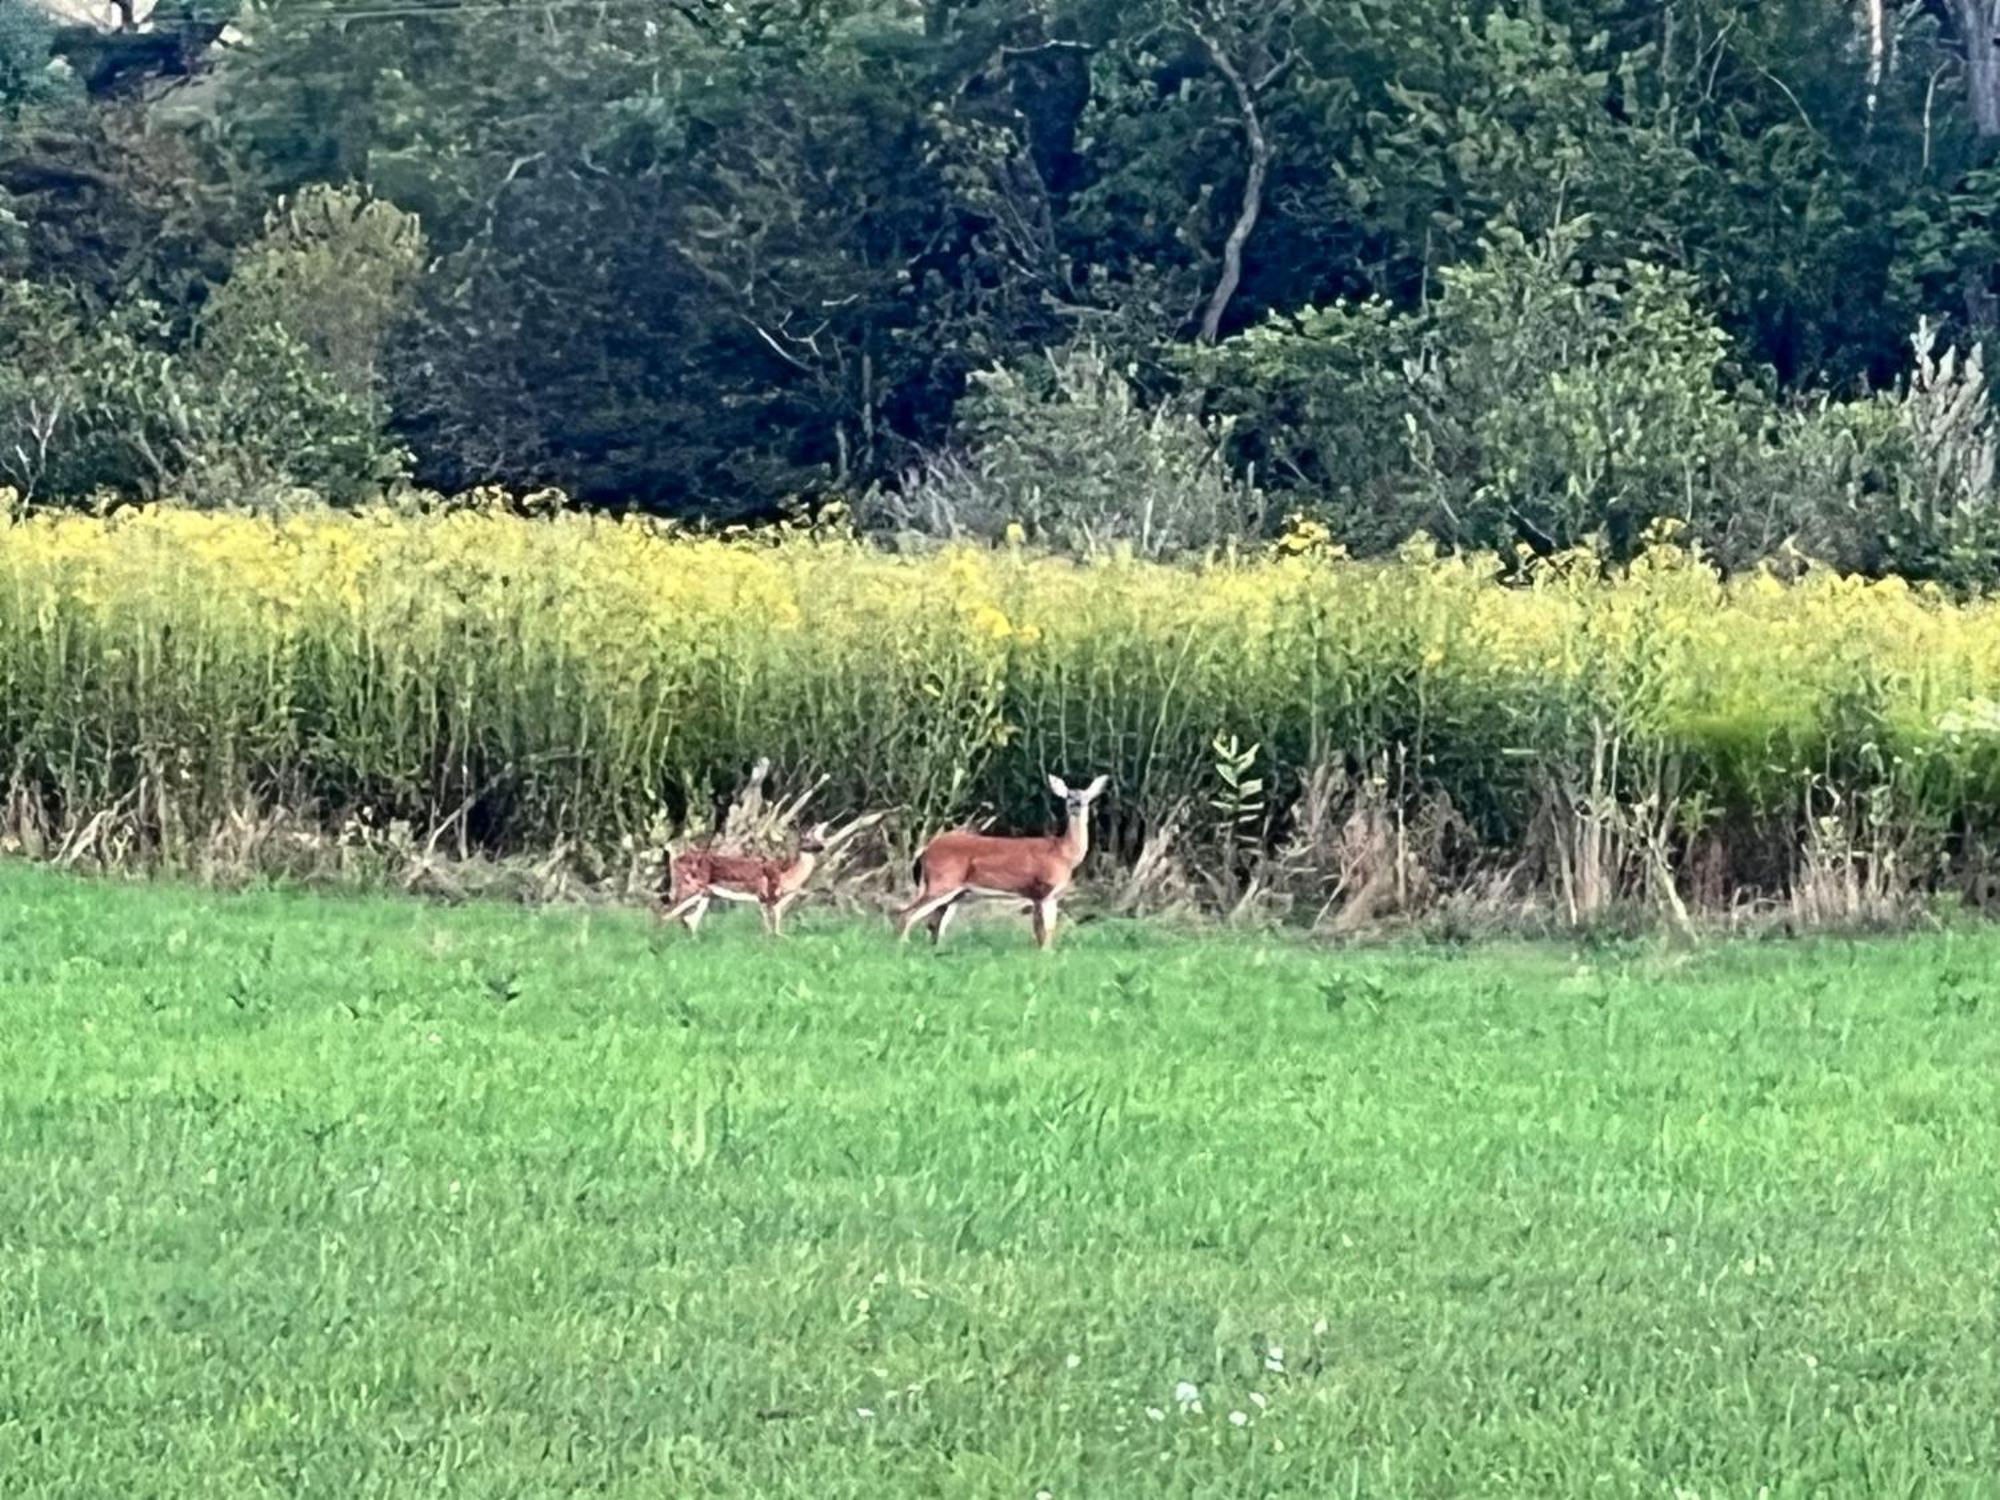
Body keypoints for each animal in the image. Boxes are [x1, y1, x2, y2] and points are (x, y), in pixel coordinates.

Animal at [660, 828, 824, 936]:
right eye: (806, 839)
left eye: (819, 838)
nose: (821, 847)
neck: (787, 877)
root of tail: (676, 860)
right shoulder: (765, 896)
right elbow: (771, 925)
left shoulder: (767, 899)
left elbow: (773, 923)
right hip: (693, 888)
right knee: (676, 912)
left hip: (706, 893)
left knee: (685, 917)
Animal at [896, 776, 1112, 952]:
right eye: (1067, 796)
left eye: (1087, 797)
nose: (1076, 804)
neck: (1064, 853)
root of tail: (924, 852)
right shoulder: (1046, 890)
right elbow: (1047, 929)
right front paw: (1047, 955)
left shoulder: (1039, 895)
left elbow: (1040, 931)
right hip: (942, 881)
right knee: (907, 913)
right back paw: (903, 947)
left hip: (955, 893)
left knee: (934, 925)